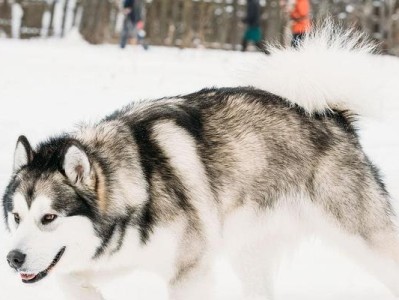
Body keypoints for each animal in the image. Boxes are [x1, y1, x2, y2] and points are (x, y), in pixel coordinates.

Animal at [3, 27, 399, 298]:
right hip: (249, 251)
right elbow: (73, 279)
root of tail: (331, 116)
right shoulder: (107, 261)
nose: (13, 258)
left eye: (49, 218)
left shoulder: (189, 273)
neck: (137, 182)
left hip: (363, 237)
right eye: (16, 217)